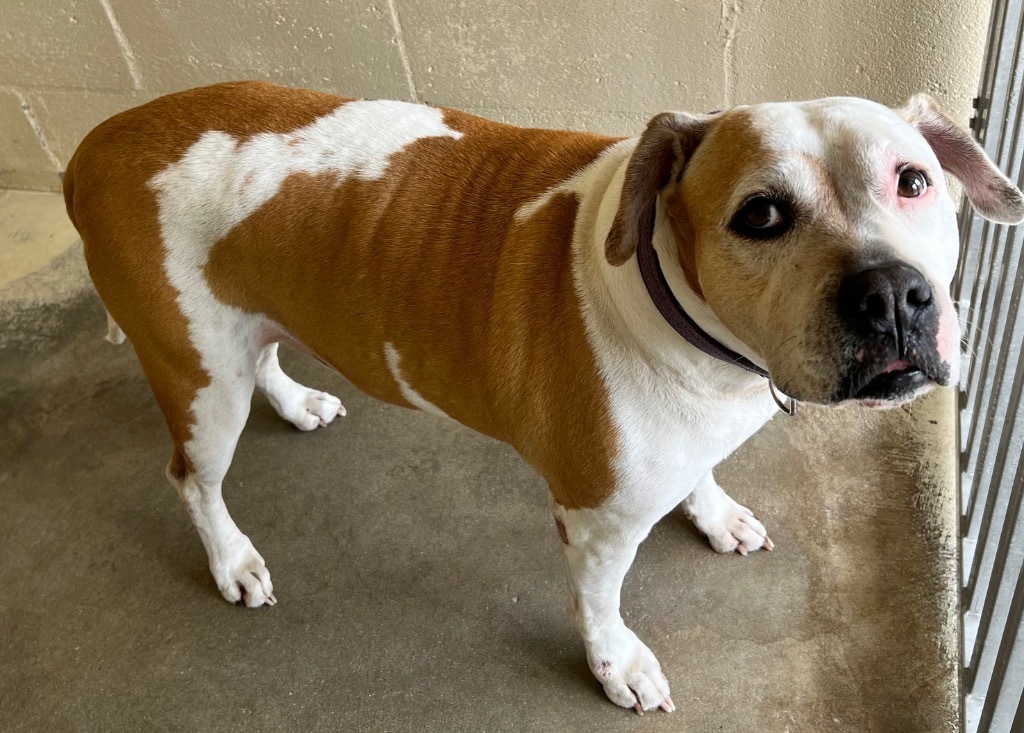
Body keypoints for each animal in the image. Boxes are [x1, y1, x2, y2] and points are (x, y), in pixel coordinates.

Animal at [64, 82, 1024, 712]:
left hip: (236, 332)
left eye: (913, 180)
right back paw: (231, 557)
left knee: (259, 356)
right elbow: (599, 605)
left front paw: (713, 511)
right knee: (194, 478)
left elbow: (700, 474)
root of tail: (94, 146)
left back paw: (297, 401)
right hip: (197, 378)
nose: (892, 294)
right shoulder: (596, 519)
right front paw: (616, 665)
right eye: (761, 215)